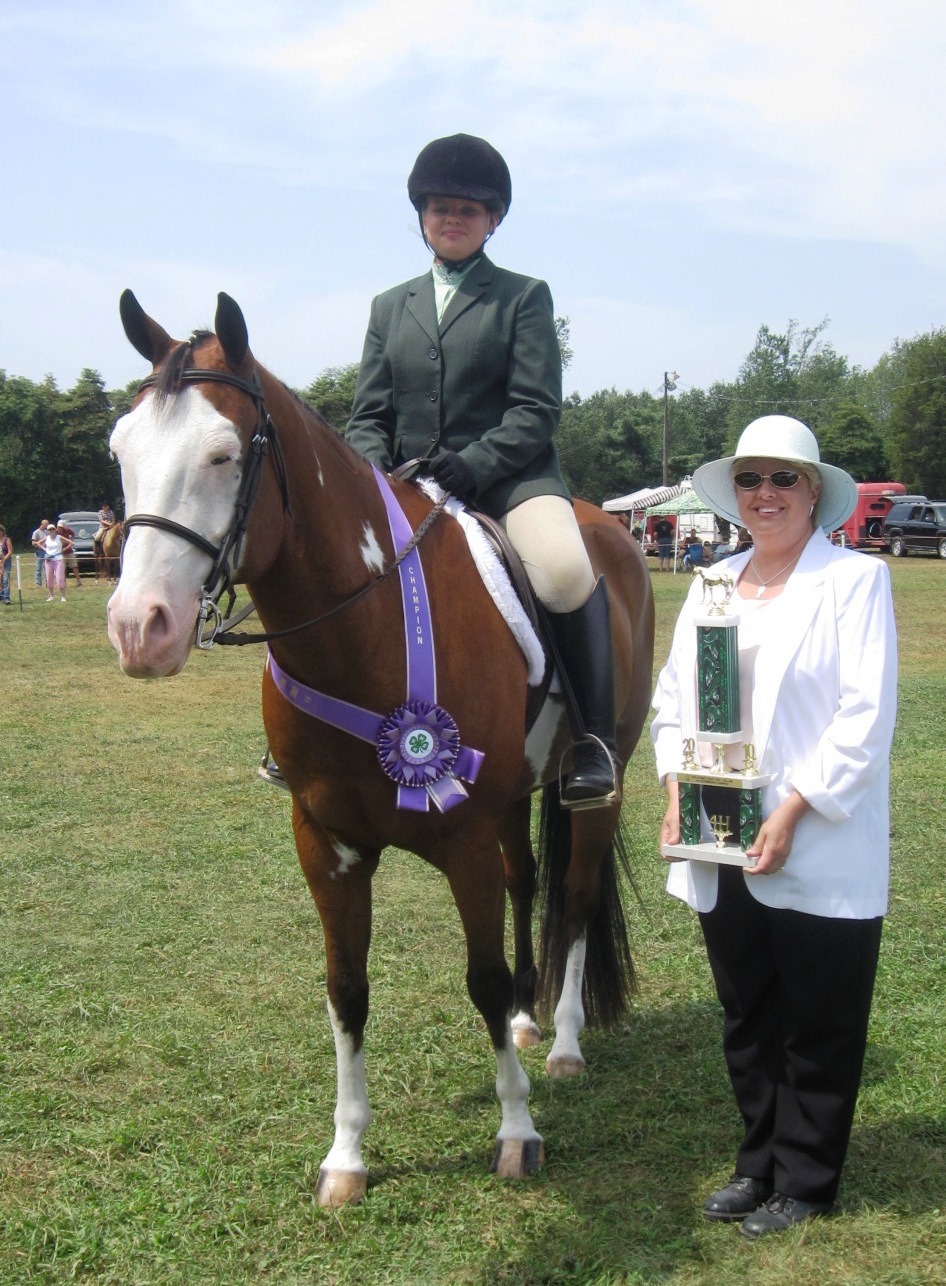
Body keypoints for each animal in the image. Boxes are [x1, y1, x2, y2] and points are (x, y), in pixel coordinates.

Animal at [107, 291, 655, 1208]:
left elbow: (478, 977)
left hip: (598, 781)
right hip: (510, 797)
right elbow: (347, 989)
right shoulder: (326, 845)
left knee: (574, 896)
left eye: (223, 455)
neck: (363, 635)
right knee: (527, 883)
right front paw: (346, 1157)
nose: (137, 629)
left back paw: (567, 1044)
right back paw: (528, 1018)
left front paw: (517, 1132)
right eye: (120, 451)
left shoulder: (460, 835)